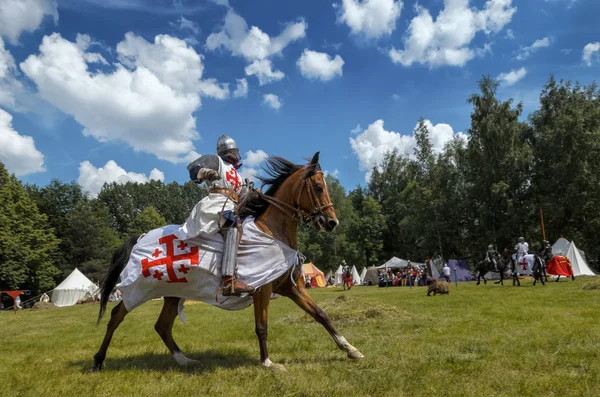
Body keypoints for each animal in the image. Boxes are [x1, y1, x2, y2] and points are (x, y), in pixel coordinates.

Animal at [91, 152, 364, 372]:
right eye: (317, 187)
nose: (331, 222)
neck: (272, 230)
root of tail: (139, 237)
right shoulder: (262, 290)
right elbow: (261, 327)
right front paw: (268, 363)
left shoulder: (291, 287)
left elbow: (322, 315)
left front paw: (351, 349)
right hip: (140, 288)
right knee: (116, 315)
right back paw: (98, 360)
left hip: (173, 292)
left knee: (162, 326)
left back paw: (184, 360)